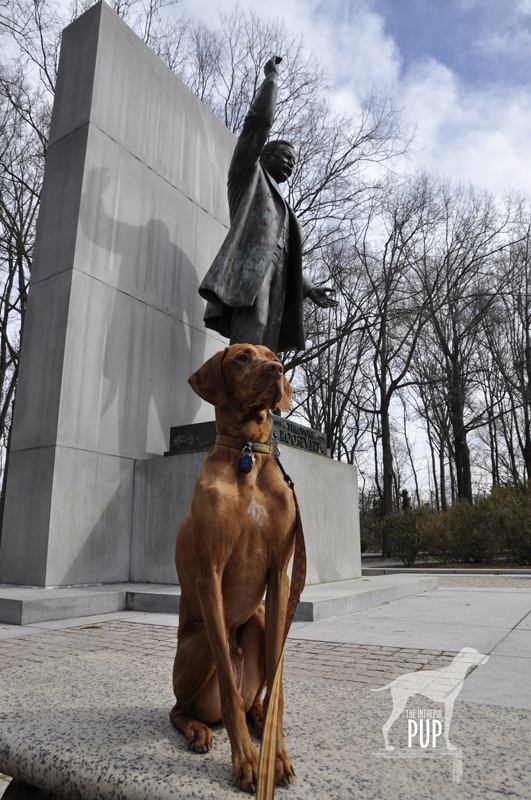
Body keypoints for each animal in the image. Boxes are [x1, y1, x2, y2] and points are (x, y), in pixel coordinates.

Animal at [169, 344, 296, 792]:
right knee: (182, 707)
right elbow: (225, 680)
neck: (248, 452)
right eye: (242, 356)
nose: (278, 368)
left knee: (255, 698)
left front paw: (275, 752)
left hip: (257, 617)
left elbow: (278, 685)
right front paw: (247, 761)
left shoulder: (280, 576)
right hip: (205, 640)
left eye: (273, 354)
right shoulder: (211, 572)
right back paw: (199, 730)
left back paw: (256, 716)